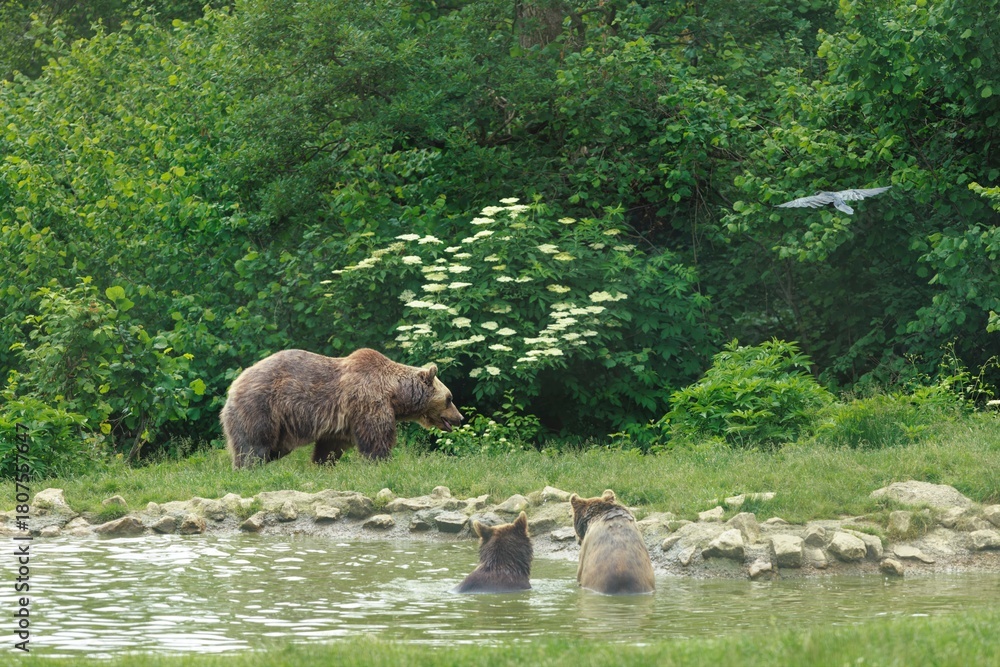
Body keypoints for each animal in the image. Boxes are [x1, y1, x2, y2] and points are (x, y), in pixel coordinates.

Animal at [219, 348, 464, 468]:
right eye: (450, 398)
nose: (460, 417)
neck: (395, 393)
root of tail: (234, 385)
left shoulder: (341, 421)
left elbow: (331, 445)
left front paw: (322, 463)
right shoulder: (369, 401)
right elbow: (376, 437)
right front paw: (382, 462)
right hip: (262, 406)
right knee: (254, 443)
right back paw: (249, 467)